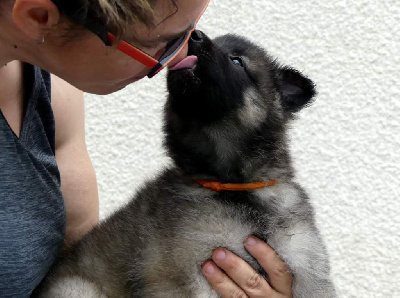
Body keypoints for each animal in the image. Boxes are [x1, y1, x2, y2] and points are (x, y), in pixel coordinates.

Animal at [36, 31, 338, 296]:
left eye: (237, 61)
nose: (195, 37)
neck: (234, 187)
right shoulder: (182, 273)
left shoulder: (306, 263)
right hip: (76, 288)